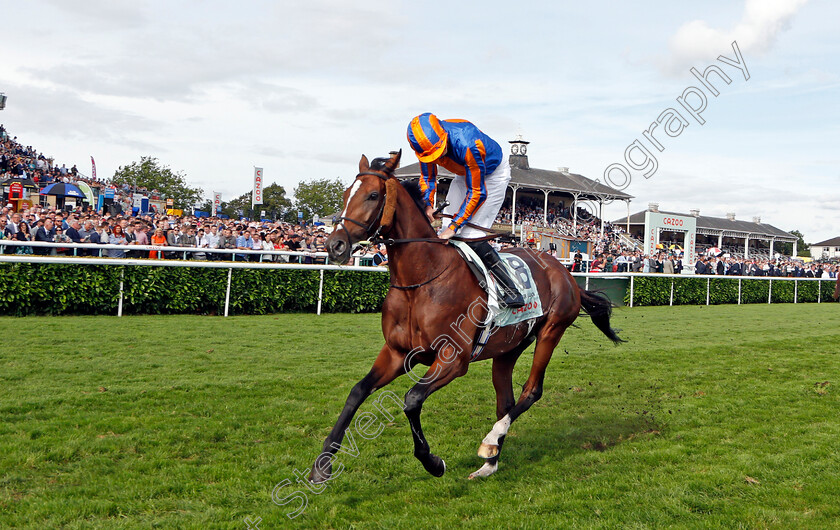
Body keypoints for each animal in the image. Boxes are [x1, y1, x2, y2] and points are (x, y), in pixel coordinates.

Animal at [310, 150, 624, 478]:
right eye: (346, 194)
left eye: (373, 195)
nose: (335, 245)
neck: (421, 281)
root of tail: (563, 270)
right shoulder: (396, 352)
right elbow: (357, 392)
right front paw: (322, 464)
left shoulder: (453, 358)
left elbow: (411, 399)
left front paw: (432, 461)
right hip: (508, 347)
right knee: (506, 400)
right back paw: (490, 461)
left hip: (552, 330)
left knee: (531, 391)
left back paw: (490, 441)